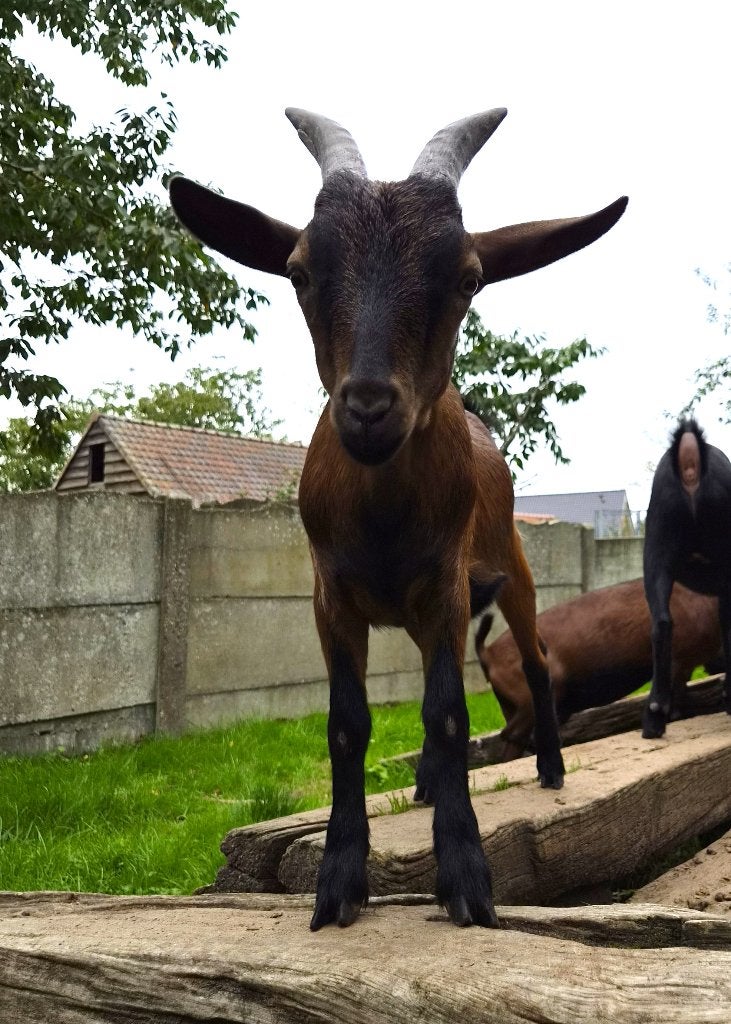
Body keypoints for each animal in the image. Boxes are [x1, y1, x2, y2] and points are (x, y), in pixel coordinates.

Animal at [169, 107, 627, 929]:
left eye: (469, 278)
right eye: (298, 271)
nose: (369, 407)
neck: (382, 514)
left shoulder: (445, 584)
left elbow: (448, 714)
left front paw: (466, 877)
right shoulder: (331, 598)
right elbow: (349, 725)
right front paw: (338, 882)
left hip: (510, 571)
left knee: (535, 662)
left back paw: (548, 766)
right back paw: (422, 786)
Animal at [475, 578, 722, 760]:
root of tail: (488, 653)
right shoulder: (677, 665)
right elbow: (676, 704)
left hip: (516, 706)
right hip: (535, 699)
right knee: (513, 734)